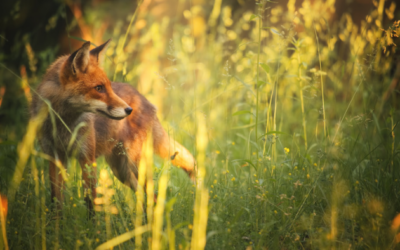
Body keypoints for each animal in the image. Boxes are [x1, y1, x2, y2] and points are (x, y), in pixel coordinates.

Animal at [30, 39, 196, 215]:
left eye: (108, 86)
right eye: (99, 88)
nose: (129, 109)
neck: (63, 124)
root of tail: (144, 100)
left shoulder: (87, 158)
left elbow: (91, 202)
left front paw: (92, 223)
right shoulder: (54, 158)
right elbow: (56, 202)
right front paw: (56, 222)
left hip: (135, 165)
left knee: (153, 196)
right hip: (122, 171)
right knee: (143, 196)